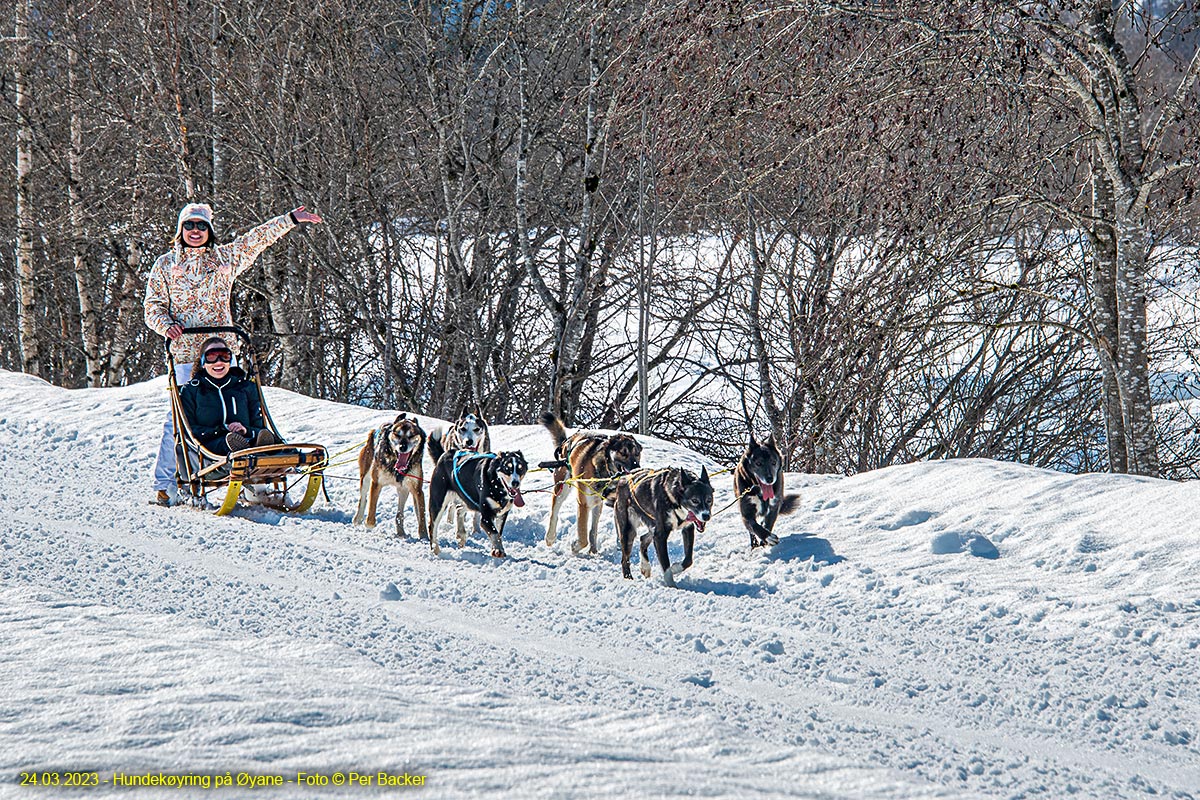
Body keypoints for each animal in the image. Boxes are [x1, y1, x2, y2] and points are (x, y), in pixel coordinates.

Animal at [540, 412, 643, 556]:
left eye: (637, 453)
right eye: (623, 453)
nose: (636, 468)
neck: (607, 472)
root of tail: (567, 442)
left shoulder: (616, 502)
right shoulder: (583, 503)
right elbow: (583, 537)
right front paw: (575, 547)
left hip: (597, 503)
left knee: (593, 530)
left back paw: (593, 550)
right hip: (562, 488)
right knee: (554, 511)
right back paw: (550, 537)